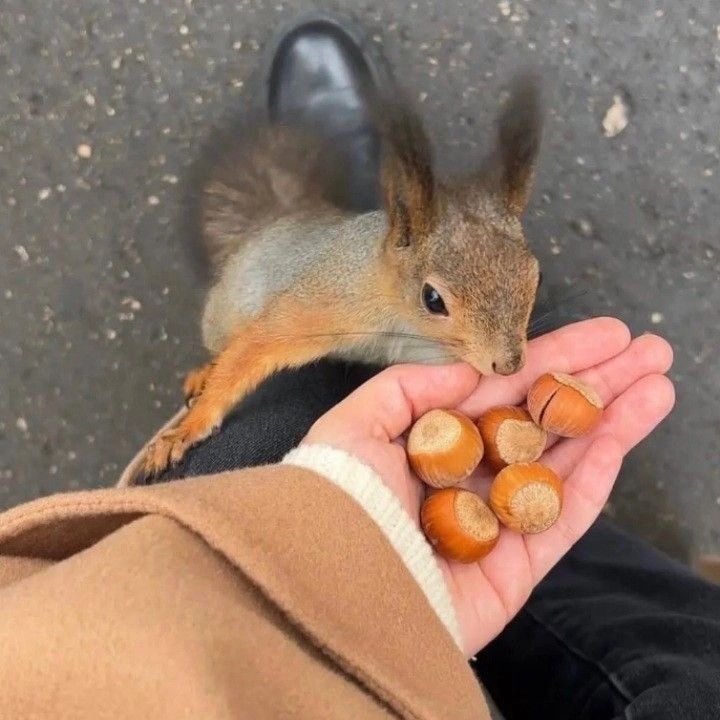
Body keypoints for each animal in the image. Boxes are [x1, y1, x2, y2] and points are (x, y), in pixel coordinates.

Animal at [141, 74, 544, 478]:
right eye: (433, 300)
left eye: (535, 275)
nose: (509, 364)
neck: (402, 320)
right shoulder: (322, 302)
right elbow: (252, 348)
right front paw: (186, 431)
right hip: (223, 316)